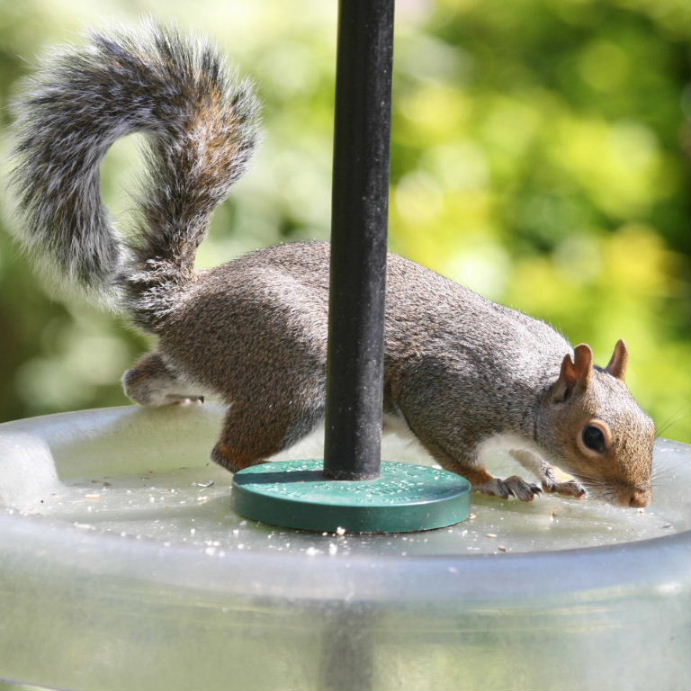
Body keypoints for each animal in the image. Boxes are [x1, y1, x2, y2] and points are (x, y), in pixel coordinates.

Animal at [10, 24, 656, 508]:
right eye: (593, 436)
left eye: (650, 427)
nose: (639, 500)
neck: (529, 387)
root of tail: (182, 305)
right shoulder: (444, 392)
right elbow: (456, 451)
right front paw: (498, 481)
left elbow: (528, 450)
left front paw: (555, 476)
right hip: (296, 365)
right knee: (228, 454)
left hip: (212, 364)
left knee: (144, 378)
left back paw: (166, 394)